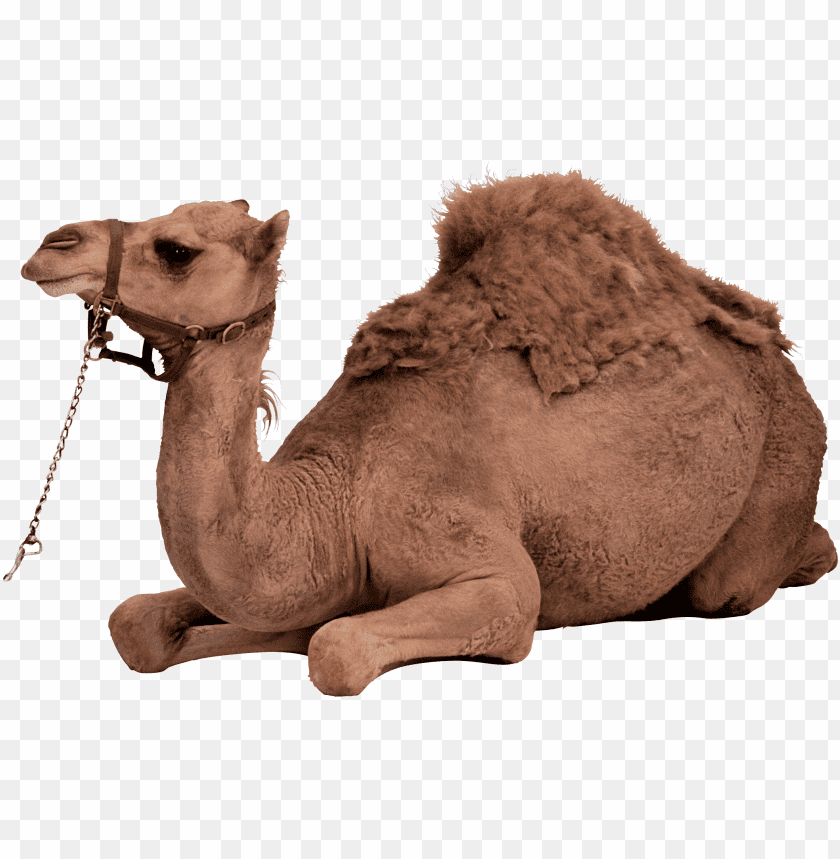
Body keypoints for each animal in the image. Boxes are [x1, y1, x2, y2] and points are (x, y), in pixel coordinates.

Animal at [18, 172, 836, 696]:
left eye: (176, 249)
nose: (53, 245)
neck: (330, 499)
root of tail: (783, 357)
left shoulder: (488, 569)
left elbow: (337, 646)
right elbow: (138, 624)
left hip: (786, 458)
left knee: (747, 576)